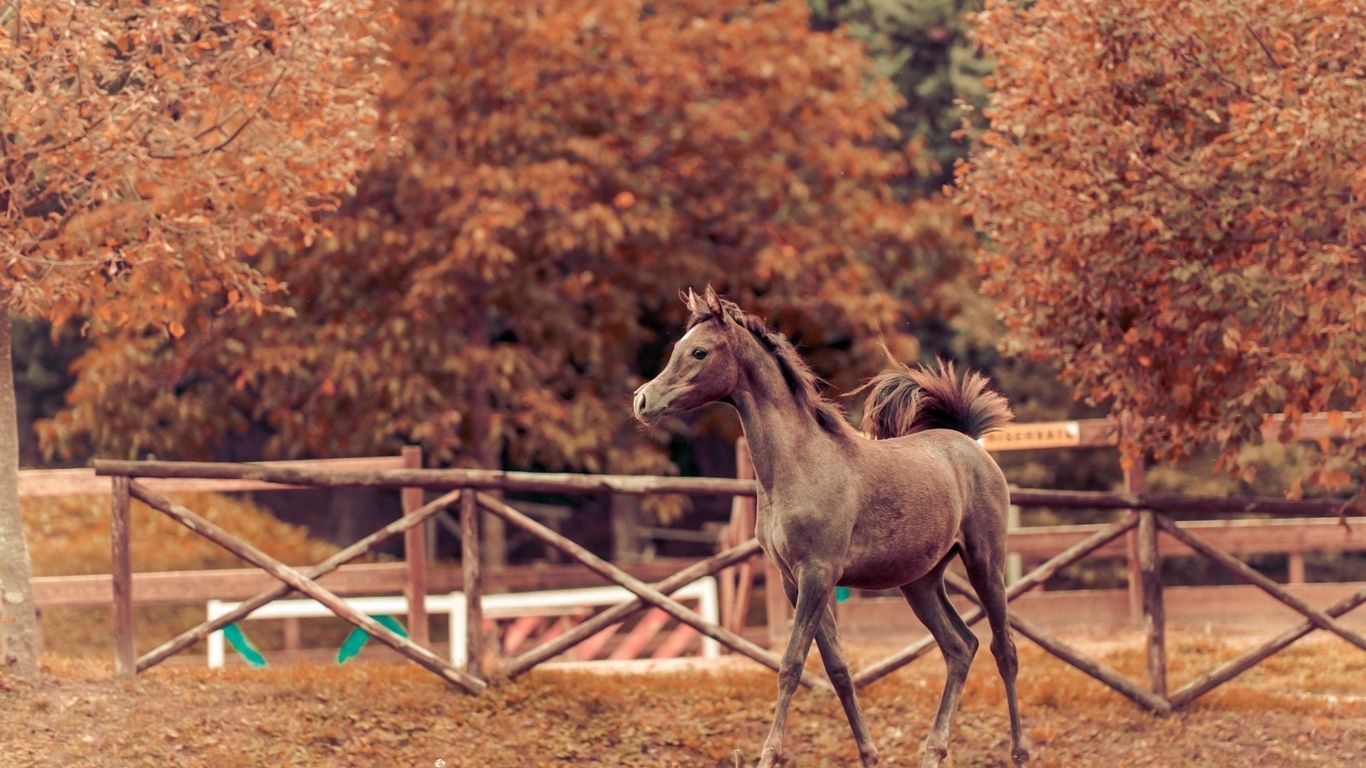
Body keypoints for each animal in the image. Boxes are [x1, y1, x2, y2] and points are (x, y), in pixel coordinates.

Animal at [632, 287, 1028, 768]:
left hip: (984, 562)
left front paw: (770, 755)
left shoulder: (817, 575)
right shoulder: (794, 581)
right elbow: (837, 668)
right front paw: (869, 755)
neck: (800, 465)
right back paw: (934, 750)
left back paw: (1019, 751)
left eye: (699, 352)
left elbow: (791, 664)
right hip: (920, 582)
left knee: (1003, 650)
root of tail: (968, 442)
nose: (642, 402)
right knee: (960, 646)